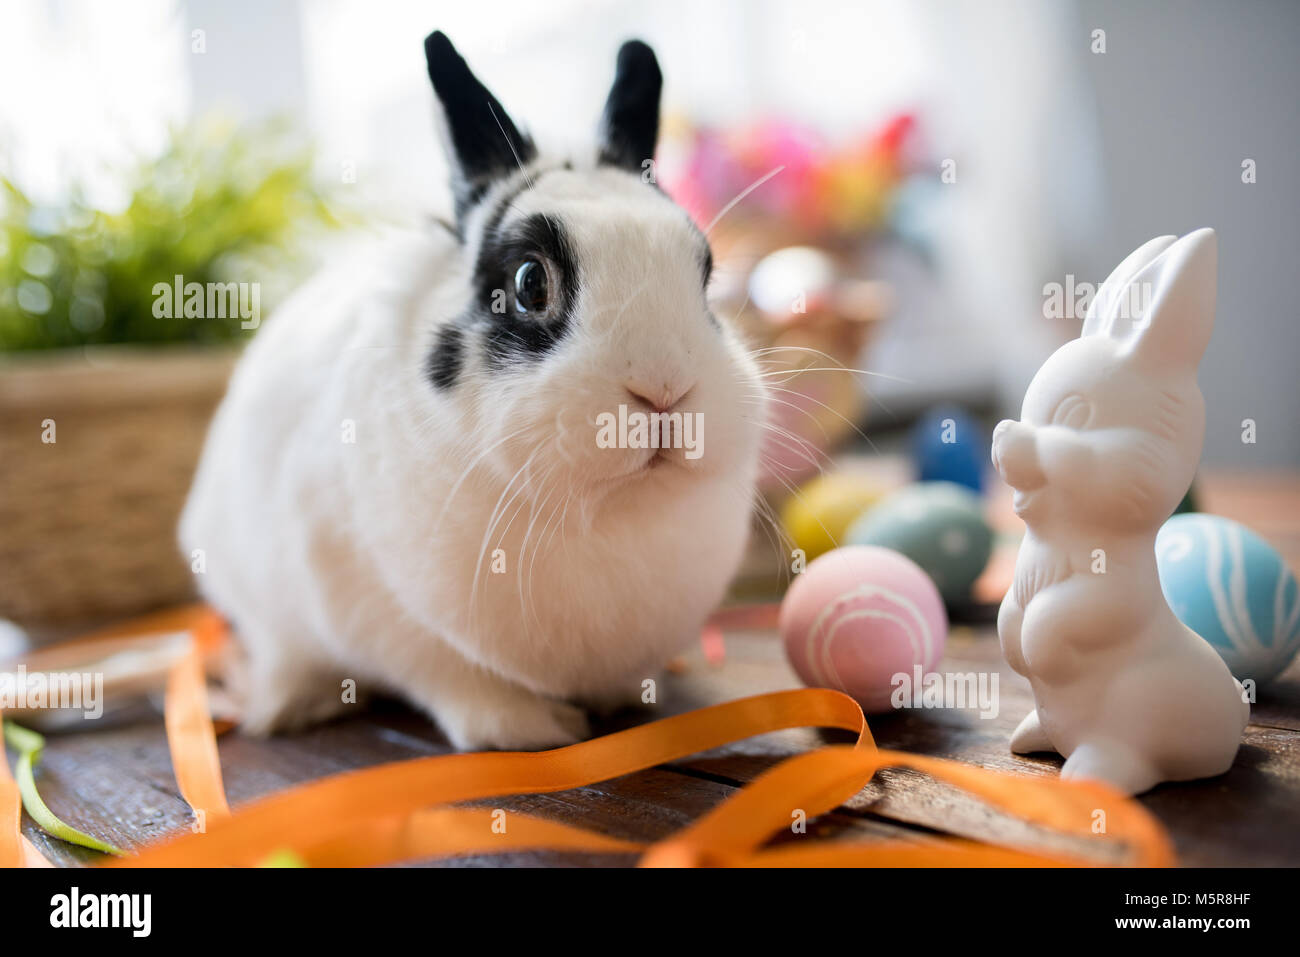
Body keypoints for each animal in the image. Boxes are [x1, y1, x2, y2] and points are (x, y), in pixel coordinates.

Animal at [179, 29, 764, 748]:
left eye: (704, 275)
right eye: (529, 283)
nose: (664, 391)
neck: (604, 509)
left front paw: (621, 696)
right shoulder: (392, 620)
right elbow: (456, 680)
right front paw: (532, 729)